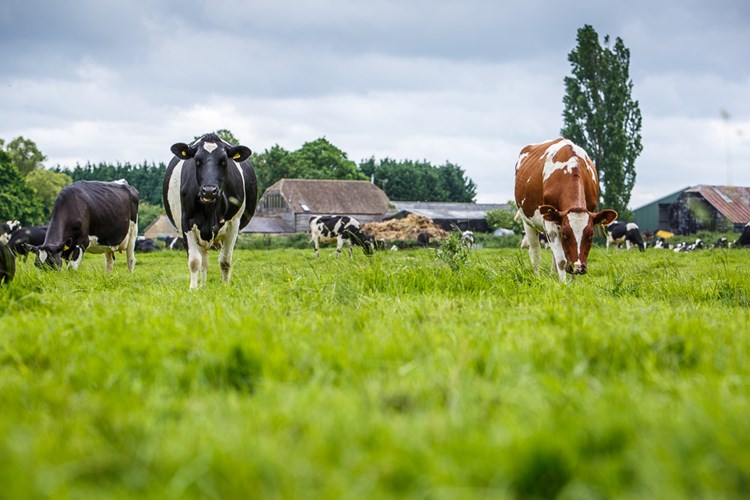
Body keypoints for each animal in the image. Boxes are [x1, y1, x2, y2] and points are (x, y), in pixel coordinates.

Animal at [162, 132, 258, 290]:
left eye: (224, 161)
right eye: (197, 161)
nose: (209, 191)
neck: (210, 210)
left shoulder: (234, 224)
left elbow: (225, 261)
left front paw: (225, 286)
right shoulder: (186, 222)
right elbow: (195, 261)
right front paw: (193, 289)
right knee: (203, 260)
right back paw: (202, 286)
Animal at [516, 138, 620, 282]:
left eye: (591, 235)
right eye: (566, 234)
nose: (579, 267)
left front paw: (572, 283)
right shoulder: (550, 221)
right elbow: (561, 260)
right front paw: (563, 284)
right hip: (528, 221)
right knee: (535, 252)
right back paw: (537, 276)